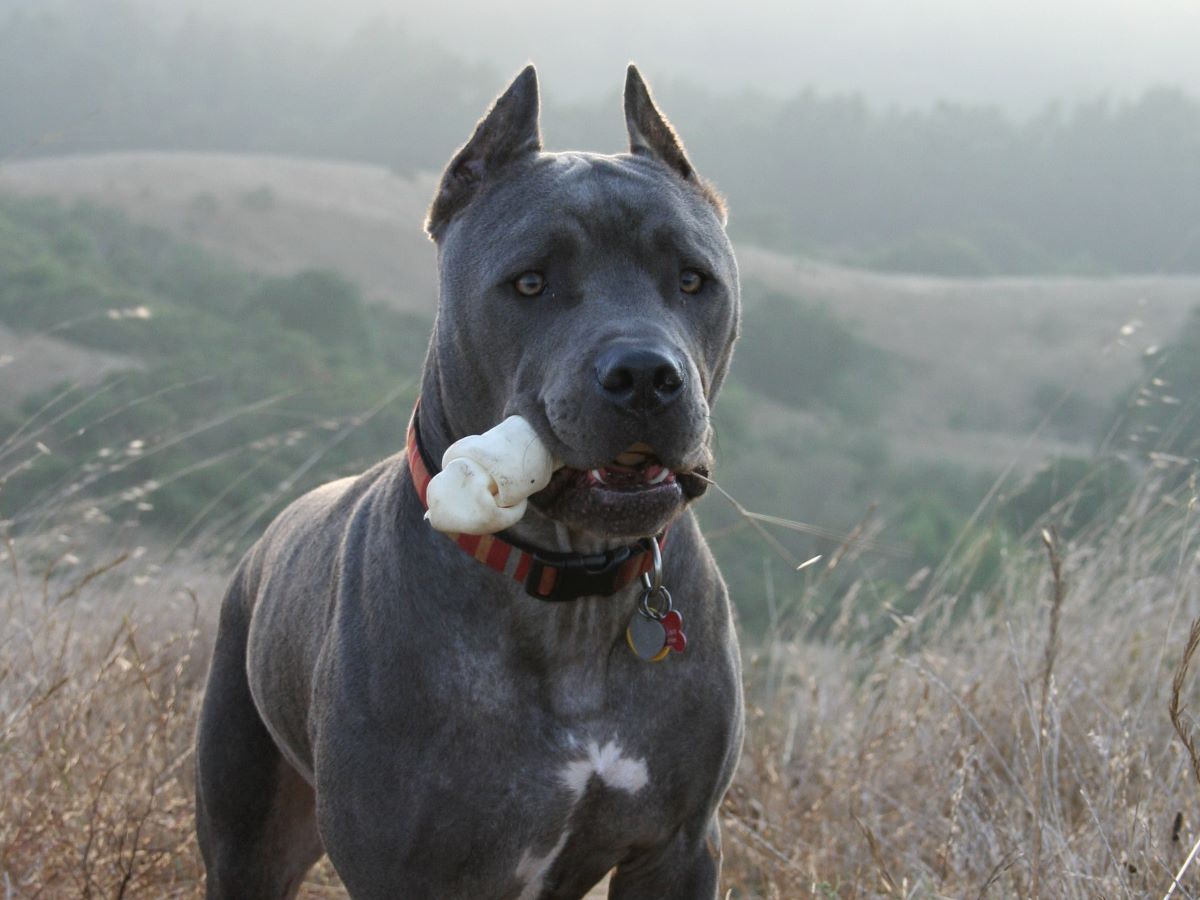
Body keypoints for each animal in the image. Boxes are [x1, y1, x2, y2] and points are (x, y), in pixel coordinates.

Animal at [195, 65, 739, 900]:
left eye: (691, 279)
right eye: (530, 282)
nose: (646, 375)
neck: (566, 591)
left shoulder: (678, 848)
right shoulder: (404, 868)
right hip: (245, 836)